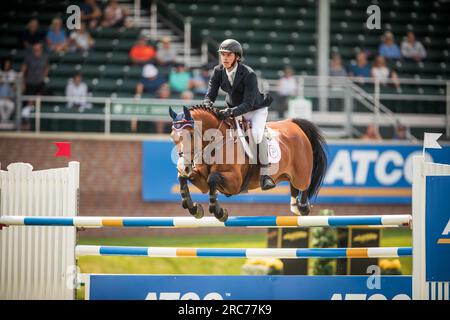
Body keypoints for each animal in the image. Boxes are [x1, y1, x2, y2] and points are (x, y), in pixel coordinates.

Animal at [169, 104, 326, 220]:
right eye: (172, 136)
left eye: (190, 135)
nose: (183, 167)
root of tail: (293, 124)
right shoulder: (202, 182)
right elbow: (182, 178)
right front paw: (194, 208)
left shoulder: (235, 183)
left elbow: (212, 178)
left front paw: (219, 212)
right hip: (287, 174)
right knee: (293, 188)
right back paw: (296, 206)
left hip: (301, 173)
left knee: (303, 185)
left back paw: (303, 207)